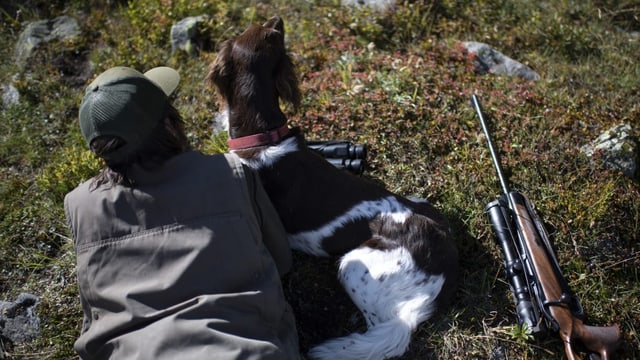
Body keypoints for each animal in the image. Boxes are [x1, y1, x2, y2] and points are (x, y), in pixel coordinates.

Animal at [208, 15, 458, 358]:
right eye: (263, 29)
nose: (278, 18)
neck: (263, 135)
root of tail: (444, 257)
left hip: (354, 266)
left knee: (385, 329)